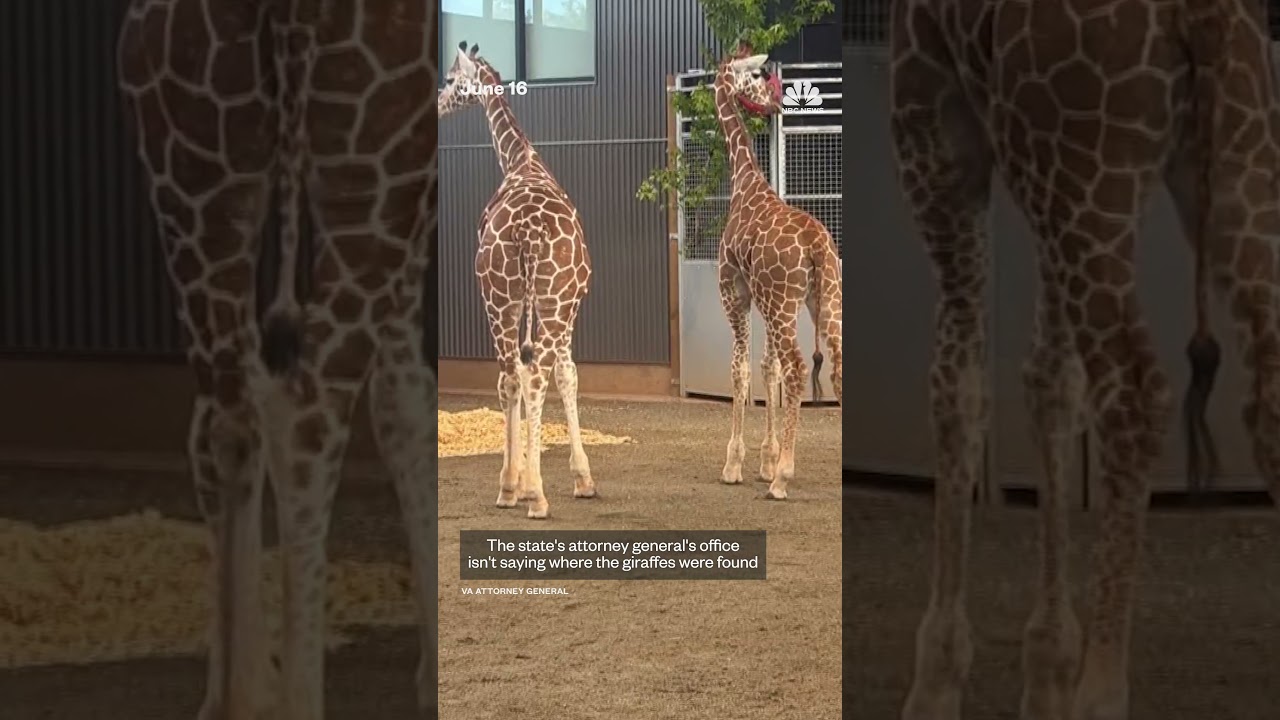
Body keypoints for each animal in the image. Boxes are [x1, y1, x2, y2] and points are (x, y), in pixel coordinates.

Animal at [116, 1, 439, 718]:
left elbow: (402, 406)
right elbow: (409, 409)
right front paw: (432, 679)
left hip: (196, 180)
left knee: (228, 418)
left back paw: (240, 695)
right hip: (372, 168)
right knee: (304, 417)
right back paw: (294, 697)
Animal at [437, 43, 594, 520]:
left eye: (450, 79)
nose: (438, 104)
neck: (522, 160)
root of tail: (528, 231)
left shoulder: (537, 303)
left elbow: (544, 374)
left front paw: (535, 478)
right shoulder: (564, 303)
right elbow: (564, 374)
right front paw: (577, 477)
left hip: (502, 297)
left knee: (512, 374)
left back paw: (512, 488)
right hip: (536, 299)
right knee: (530, 374)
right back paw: (532, 493)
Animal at [713, 43, 844, 501]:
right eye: (756, 75)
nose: (774, 102)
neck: (745, 181)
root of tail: (817, 245)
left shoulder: (734, 292)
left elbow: (741, 369)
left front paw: (736, 464)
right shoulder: (763, 299)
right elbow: (768, 368)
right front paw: (765, 460)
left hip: (787, 303)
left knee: (800, 368)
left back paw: (783, 479)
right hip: (823, 299)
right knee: (836, 366)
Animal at [889, 1, 1280, 719]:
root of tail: (1202, 13)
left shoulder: (934, 118)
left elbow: (960, 388)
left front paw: (935, 684)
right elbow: (1051, 382)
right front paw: (1045, 672)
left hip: (1087, 181)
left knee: (1136, 390)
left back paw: (1099, 690)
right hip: (1232, 163)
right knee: (1265, 395)